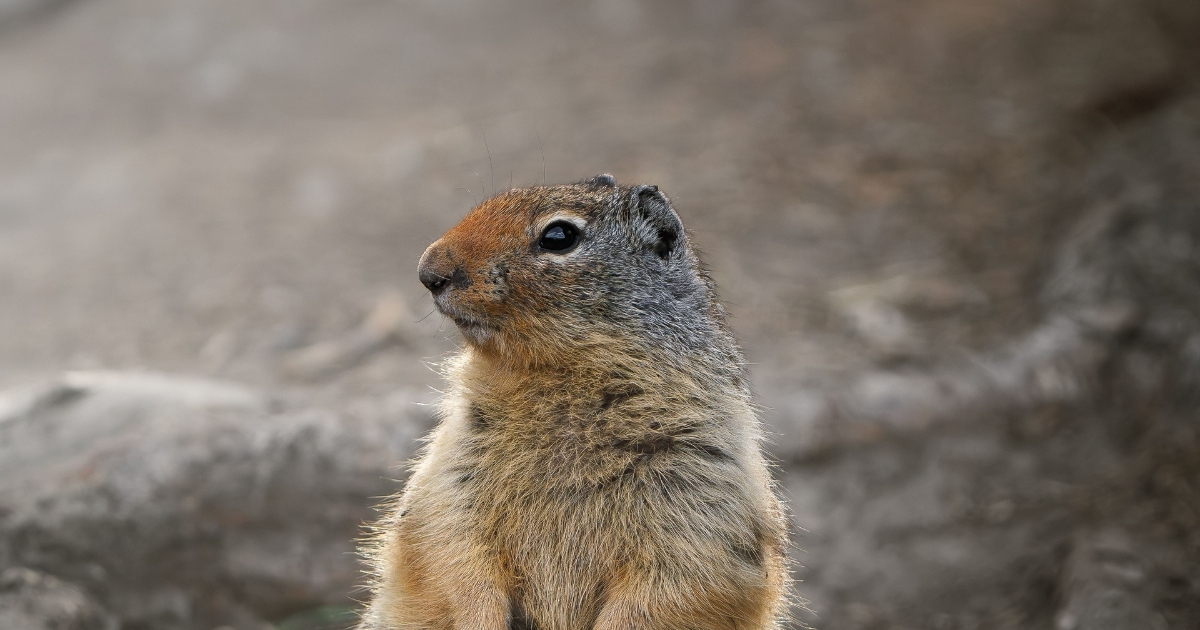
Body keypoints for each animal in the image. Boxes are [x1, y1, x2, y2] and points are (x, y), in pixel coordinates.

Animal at [359, 175, 790, 630]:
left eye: (559, 236)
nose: (428, 272)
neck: (560, 387)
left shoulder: (700, 496)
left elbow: (670, 590)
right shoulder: (452, 473)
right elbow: (449, 554)